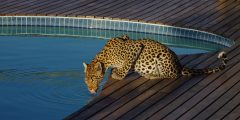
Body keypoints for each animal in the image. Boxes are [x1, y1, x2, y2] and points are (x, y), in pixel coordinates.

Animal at [83, 34, 228, 94]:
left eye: (93, 79)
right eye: (86, 81)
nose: (90, 90)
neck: (106, 58)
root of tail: (179, 65)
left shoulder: (135, 47)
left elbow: (126, 64)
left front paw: (117, 75)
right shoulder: (126, 36)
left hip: (162, 58)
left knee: (173, 75)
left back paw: (152, 75)